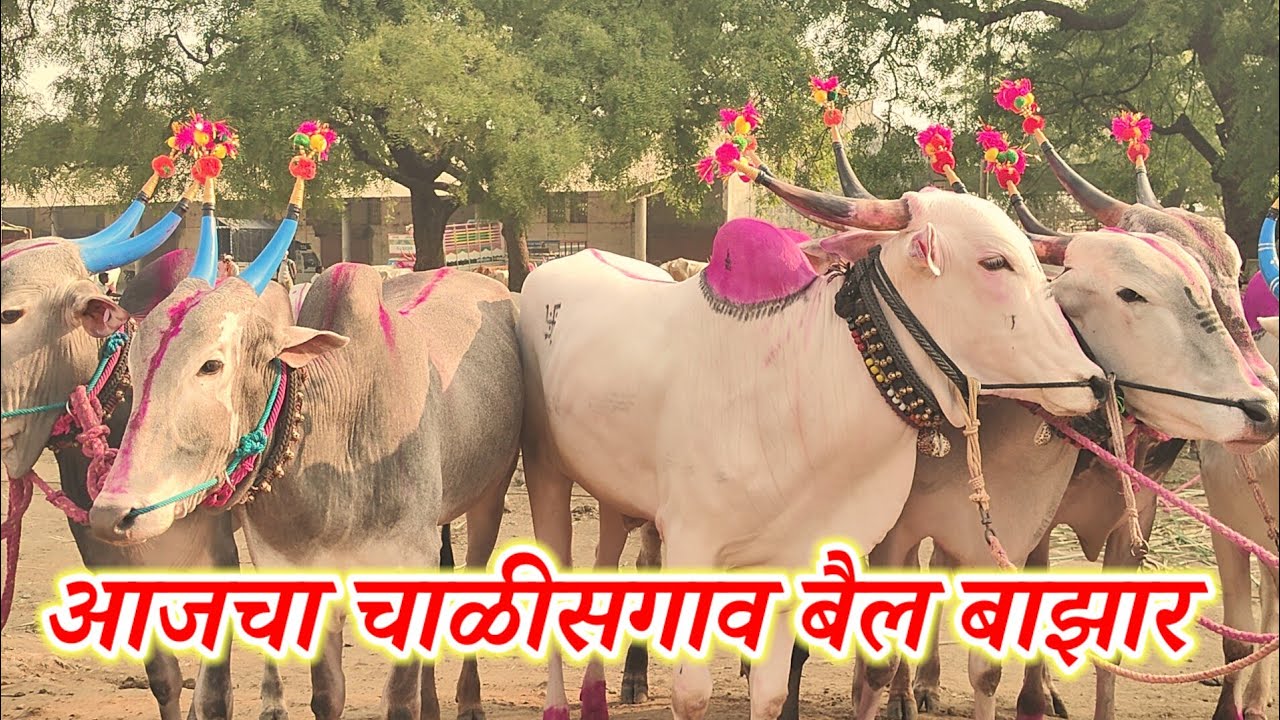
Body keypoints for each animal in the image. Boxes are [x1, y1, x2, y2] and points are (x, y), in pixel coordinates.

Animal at [83, 194, 525, 720]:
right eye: (133, 362)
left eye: (211, 364)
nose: (113, 513)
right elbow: (327, 694)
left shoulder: (407, 564)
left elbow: (400, 699)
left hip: (490, 496)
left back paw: (469, 700)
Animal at [517, 167, 1108, 720]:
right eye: (994, 263)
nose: (1096, 382)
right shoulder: (691, 543)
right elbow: (692, 694)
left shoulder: (791, 558)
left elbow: (772, 694)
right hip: (546, 472)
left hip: (610, 492)